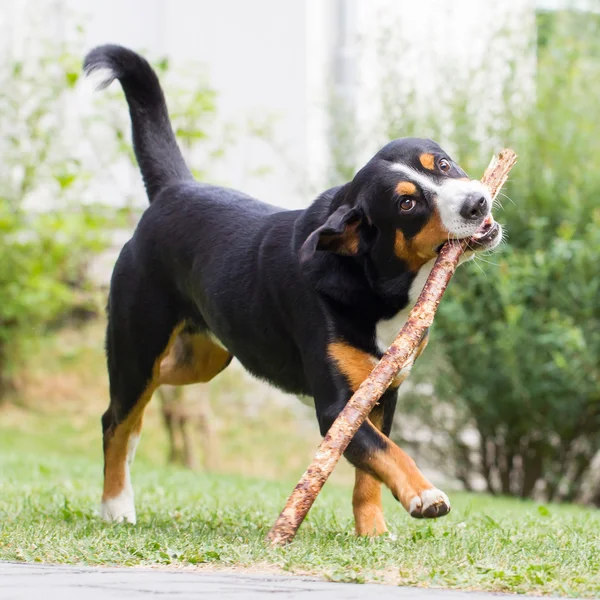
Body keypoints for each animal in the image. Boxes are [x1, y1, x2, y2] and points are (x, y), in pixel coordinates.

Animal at [84, 45, 502, 536]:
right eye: (407, 203)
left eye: (442, 165)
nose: (477, 203)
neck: (373, 286)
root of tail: (175, 189)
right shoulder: (338, 408)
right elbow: (385, 452)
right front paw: (424, 494)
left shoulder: (380, 396)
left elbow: (369, 476)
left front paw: (373, 532)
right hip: (139, 345)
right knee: (115, 417)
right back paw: (116, 505)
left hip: (200, 360)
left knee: (145, 409)